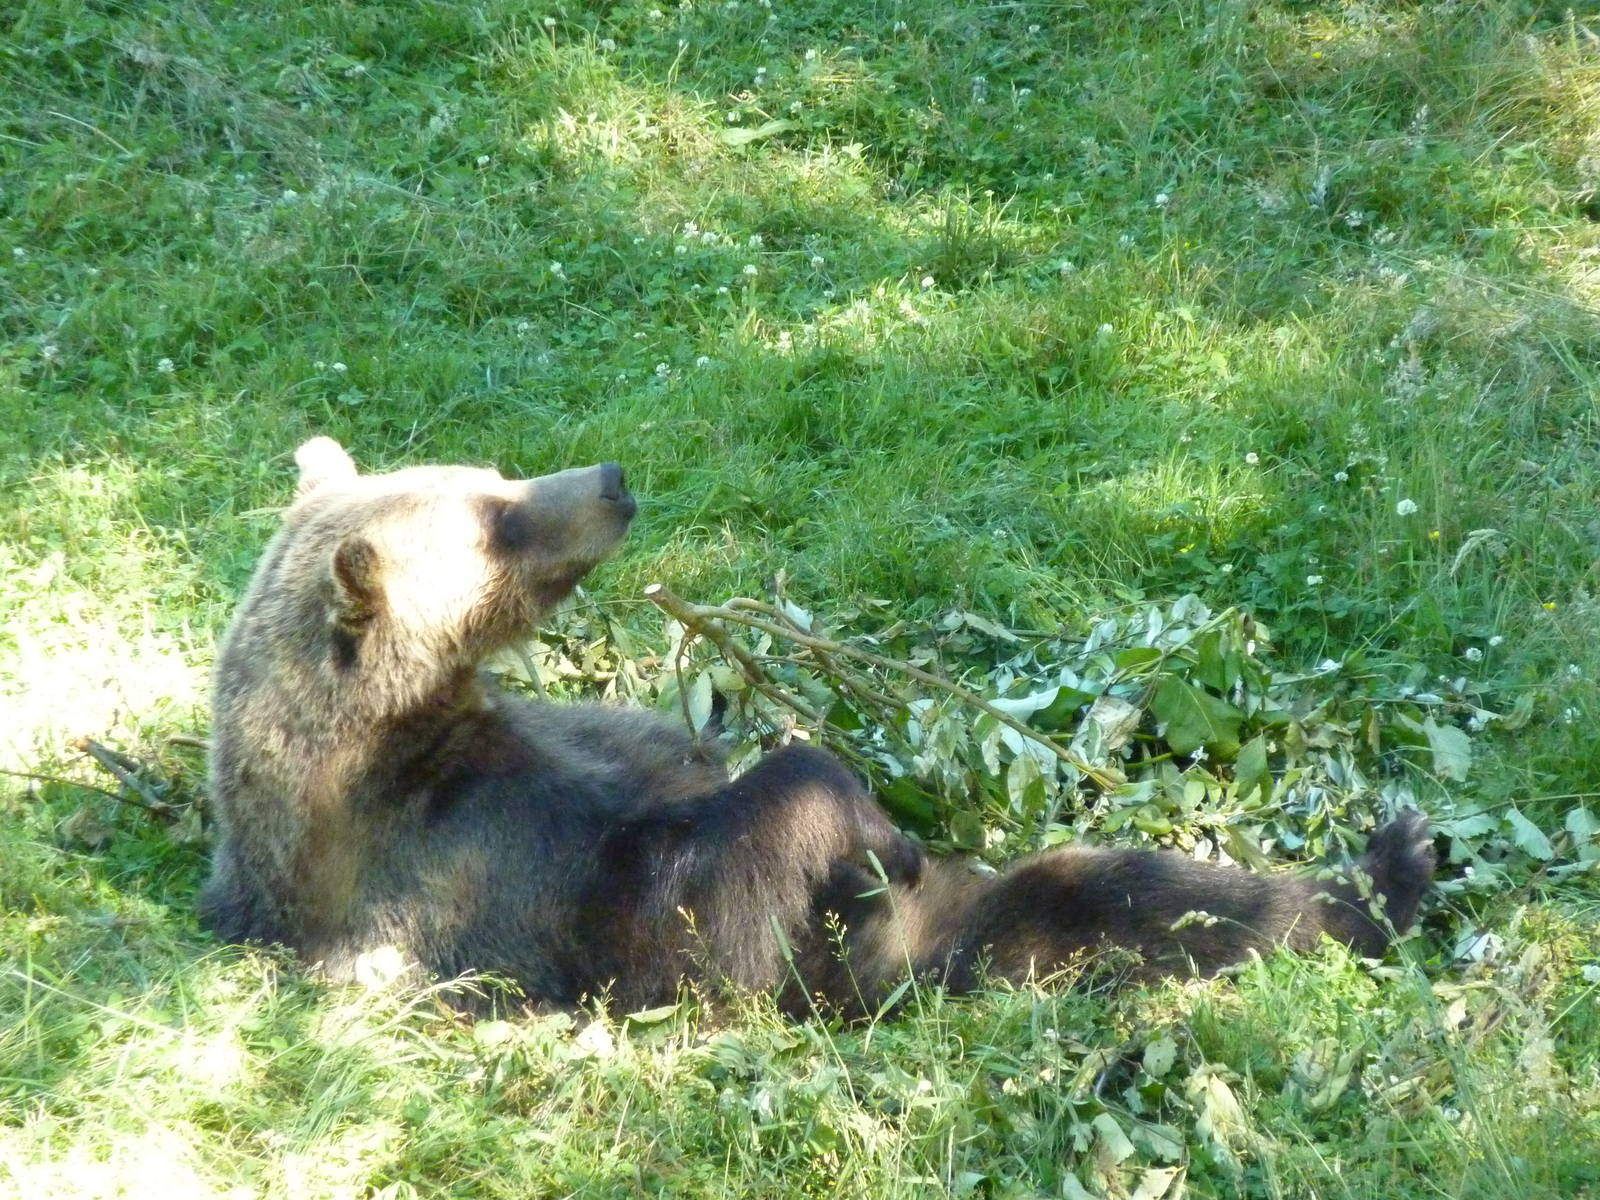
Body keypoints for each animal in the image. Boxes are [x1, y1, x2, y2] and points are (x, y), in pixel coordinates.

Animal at [199, 438, 1435, 1016]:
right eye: (496, 518)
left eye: (491, 470)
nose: (611, 477)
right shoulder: (493, 870)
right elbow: (708, 885)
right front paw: (860, 817)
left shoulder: (590, 744)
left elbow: (682, 756)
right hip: (888, 965)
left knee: (1136, 893)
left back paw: (1387, 863)